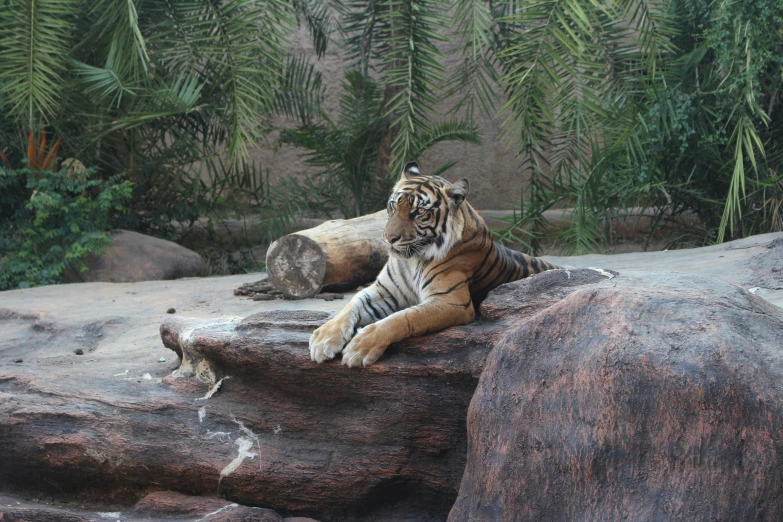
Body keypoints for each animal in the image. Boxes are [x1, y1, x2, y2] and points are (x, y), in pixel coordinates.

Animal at [310, 160, 560, 368]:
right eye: (393, 206)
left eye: (419, 212)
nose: (389, 238)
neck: (411, 259)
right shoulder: (384, 291)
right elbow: (352, 303)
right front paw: (324, 338)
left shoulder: (452, 301)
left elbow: (405, 317)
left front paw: (360, 347)